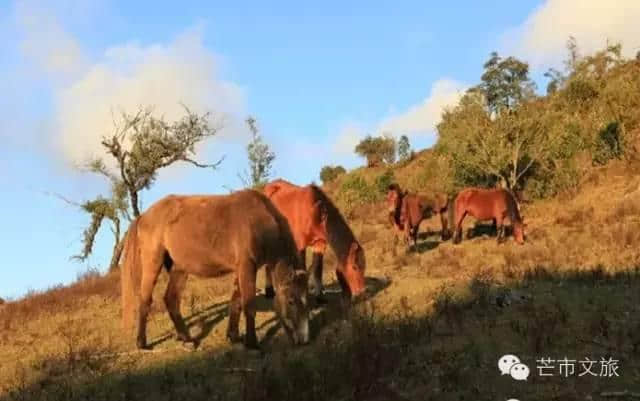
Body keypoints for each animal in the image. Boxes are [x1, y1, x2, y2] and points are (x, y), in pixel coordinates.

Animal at [121, 189, 312, 348]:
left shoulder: (241, 269)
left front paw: (233, 336)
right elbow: (249, 305)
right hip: (153, 264)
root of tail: (143, 216)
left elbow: (236, 303)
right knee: (145, 301)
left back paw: (187, 339)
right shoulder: (246, 267)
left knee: (171, 300)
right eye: (291, 301)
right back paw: (142, 343)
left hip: (179, 269)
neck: (259, 221)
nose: (304, 340)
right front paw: (252, 343)